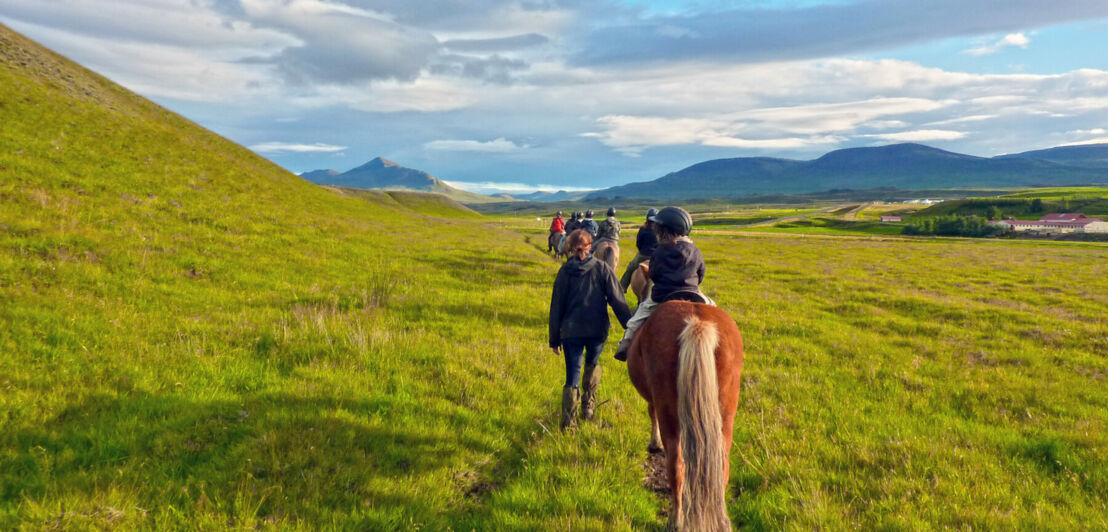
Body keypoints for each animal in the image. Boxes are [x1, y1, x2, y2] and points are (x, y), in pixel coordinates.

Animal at [629, 301, 740, 529]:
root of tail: (698, 325)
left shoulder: (654, 400)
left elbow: (651, 413)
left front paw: (654, 443)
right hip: (725, 419)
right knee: (722, 469)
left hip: (671, 419)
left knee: (676, 466)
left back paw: (676, 519)